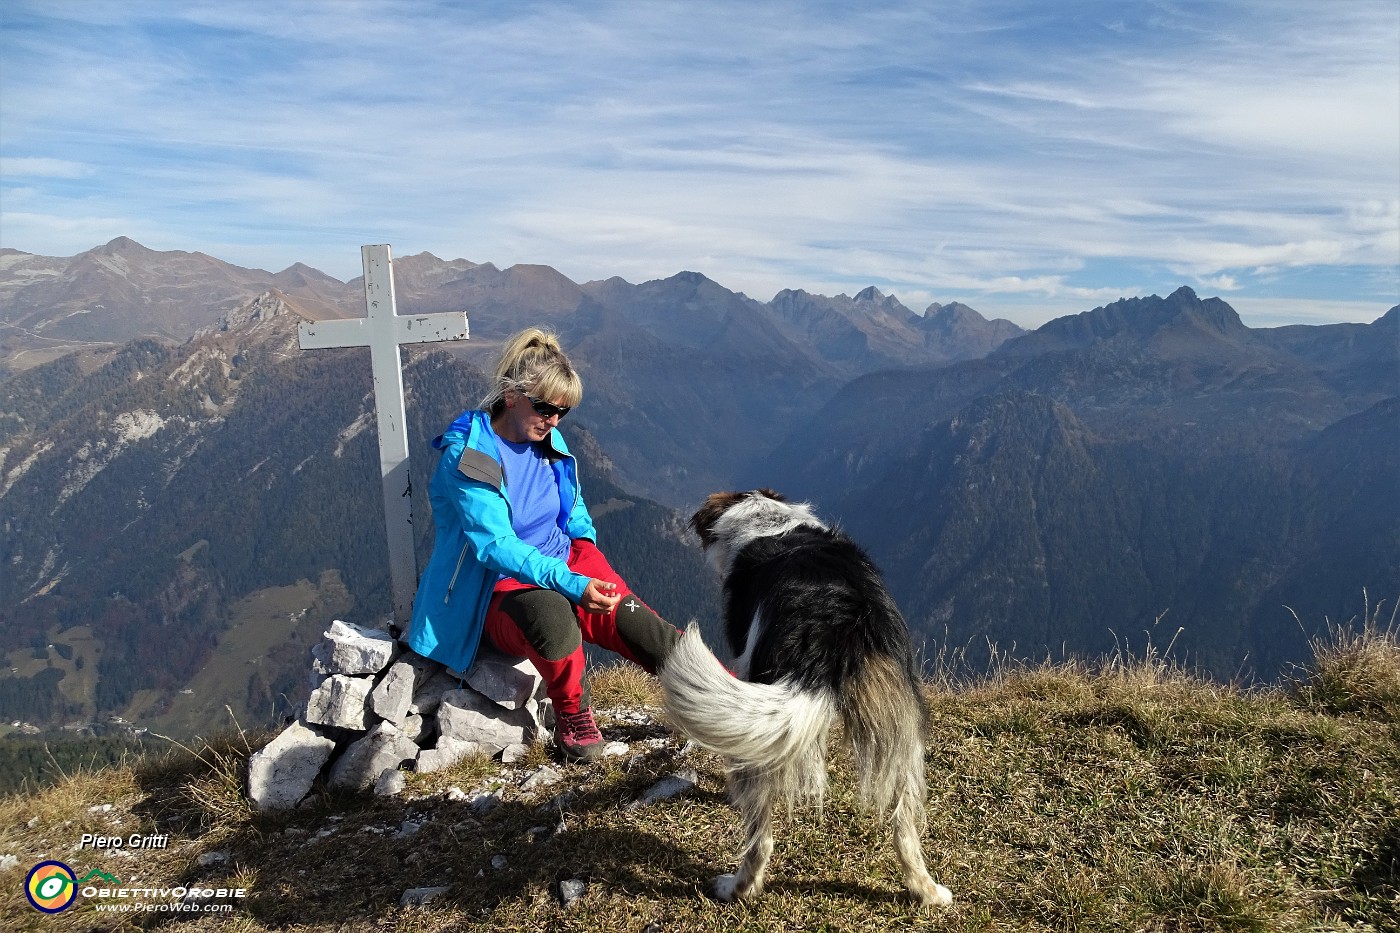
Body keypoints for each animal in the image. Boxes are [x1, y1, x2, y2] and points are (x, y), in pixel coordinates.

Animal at [658, 487, 952, 902]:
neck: (769, 521)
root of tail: (834, 617)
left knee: (760, 838)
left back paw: (737, 887)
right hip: (900, 725)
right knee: (905, 825)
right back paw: (926, 890)